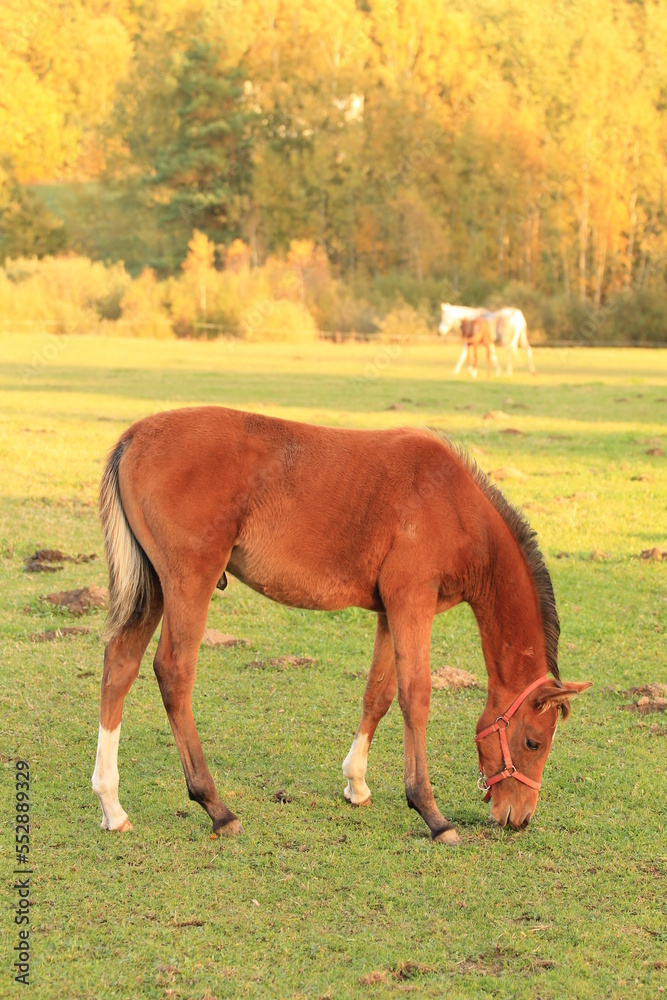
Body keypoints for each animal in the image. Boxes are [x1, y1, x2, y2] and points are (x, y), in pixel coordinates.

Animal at [92, 406, 591, 844]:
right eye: (534, 742)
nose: (519, 818)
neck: (455, 505)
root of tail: (133, 437)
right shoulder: (412, 601)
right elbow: (416, 697)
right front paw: (431, 813)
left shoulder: (391, 610)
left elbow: (379, 694)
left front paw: (357, 784)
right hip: (188, 583)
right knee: (173, 673)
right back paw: (216, 807)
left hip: (154, 587)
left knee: (120, 665)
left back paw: (112, 806)